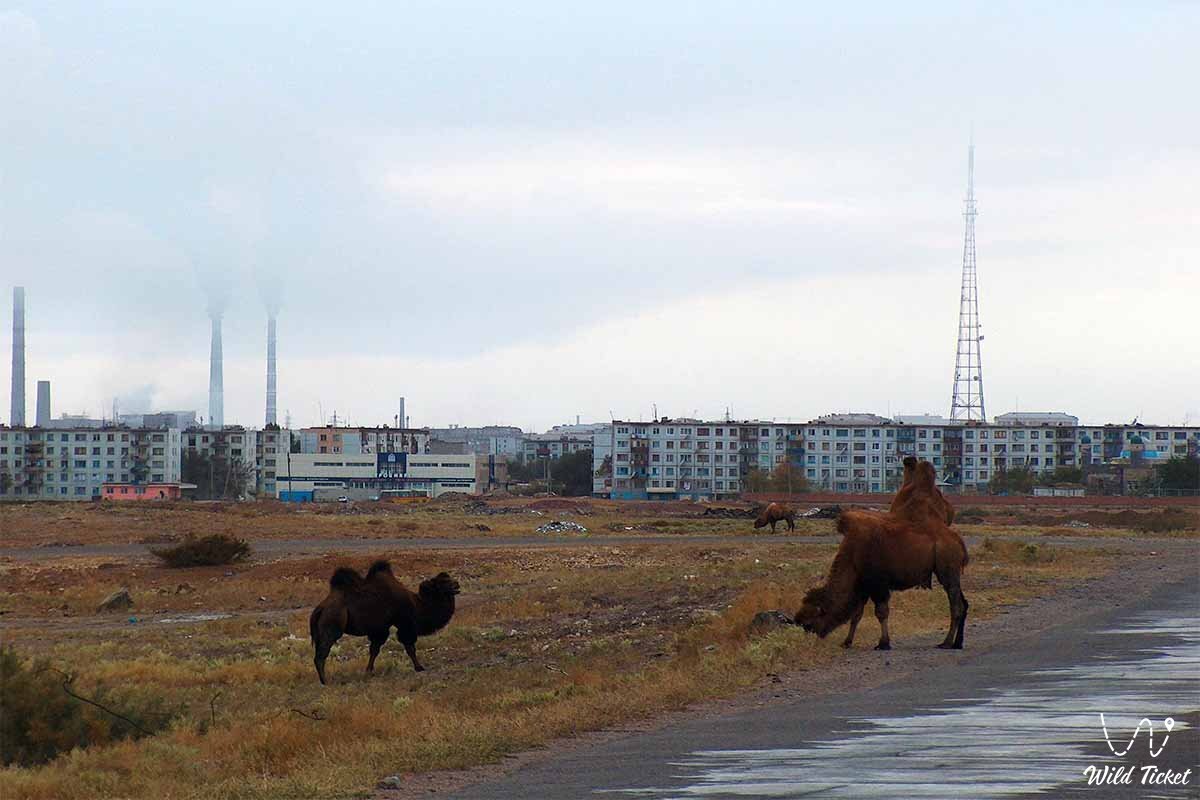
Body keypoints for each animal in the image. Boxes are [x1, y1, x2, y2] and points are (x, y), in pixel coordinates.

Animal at [309, 561, 458, 686]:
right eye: (443, 582)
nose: (457, 584)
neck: (417, 605)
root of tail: (320, 609)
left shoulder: (379, 629)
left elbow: (374, 650)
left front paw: (369, 671)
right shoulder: (404, 624)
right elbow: (410, 647)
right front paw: (419, 668)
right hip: (331, 626)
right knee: (321, 655)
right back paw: (325, 681)